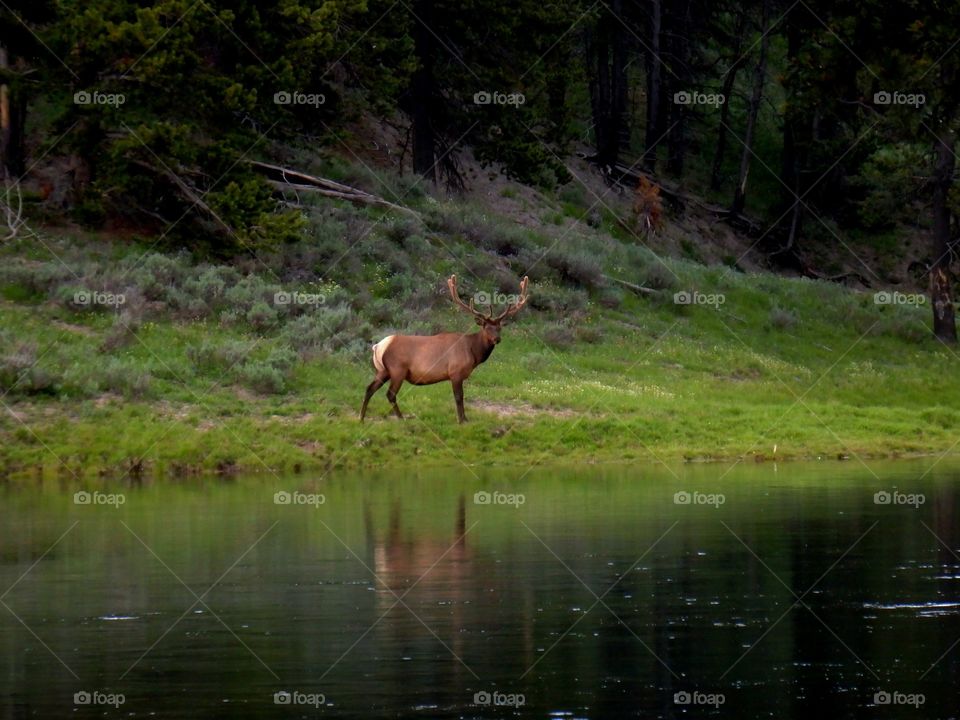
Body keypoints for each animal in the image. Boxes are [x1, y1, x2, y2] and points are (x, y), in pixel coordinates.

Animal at [360, 274, 529, 423]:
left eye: (499, 328)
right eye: (486, 327)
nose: (497, 339)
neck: (473, 352)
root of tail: (378, 346)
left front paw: (465, 418)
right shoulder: (455, 372)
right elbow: (459, 397)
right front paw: (462, 420)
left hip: (383, 370)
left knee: (369, 388)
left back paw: (361, 418)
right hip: (397, 369)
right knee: (390, 394)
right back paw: (401, 419)